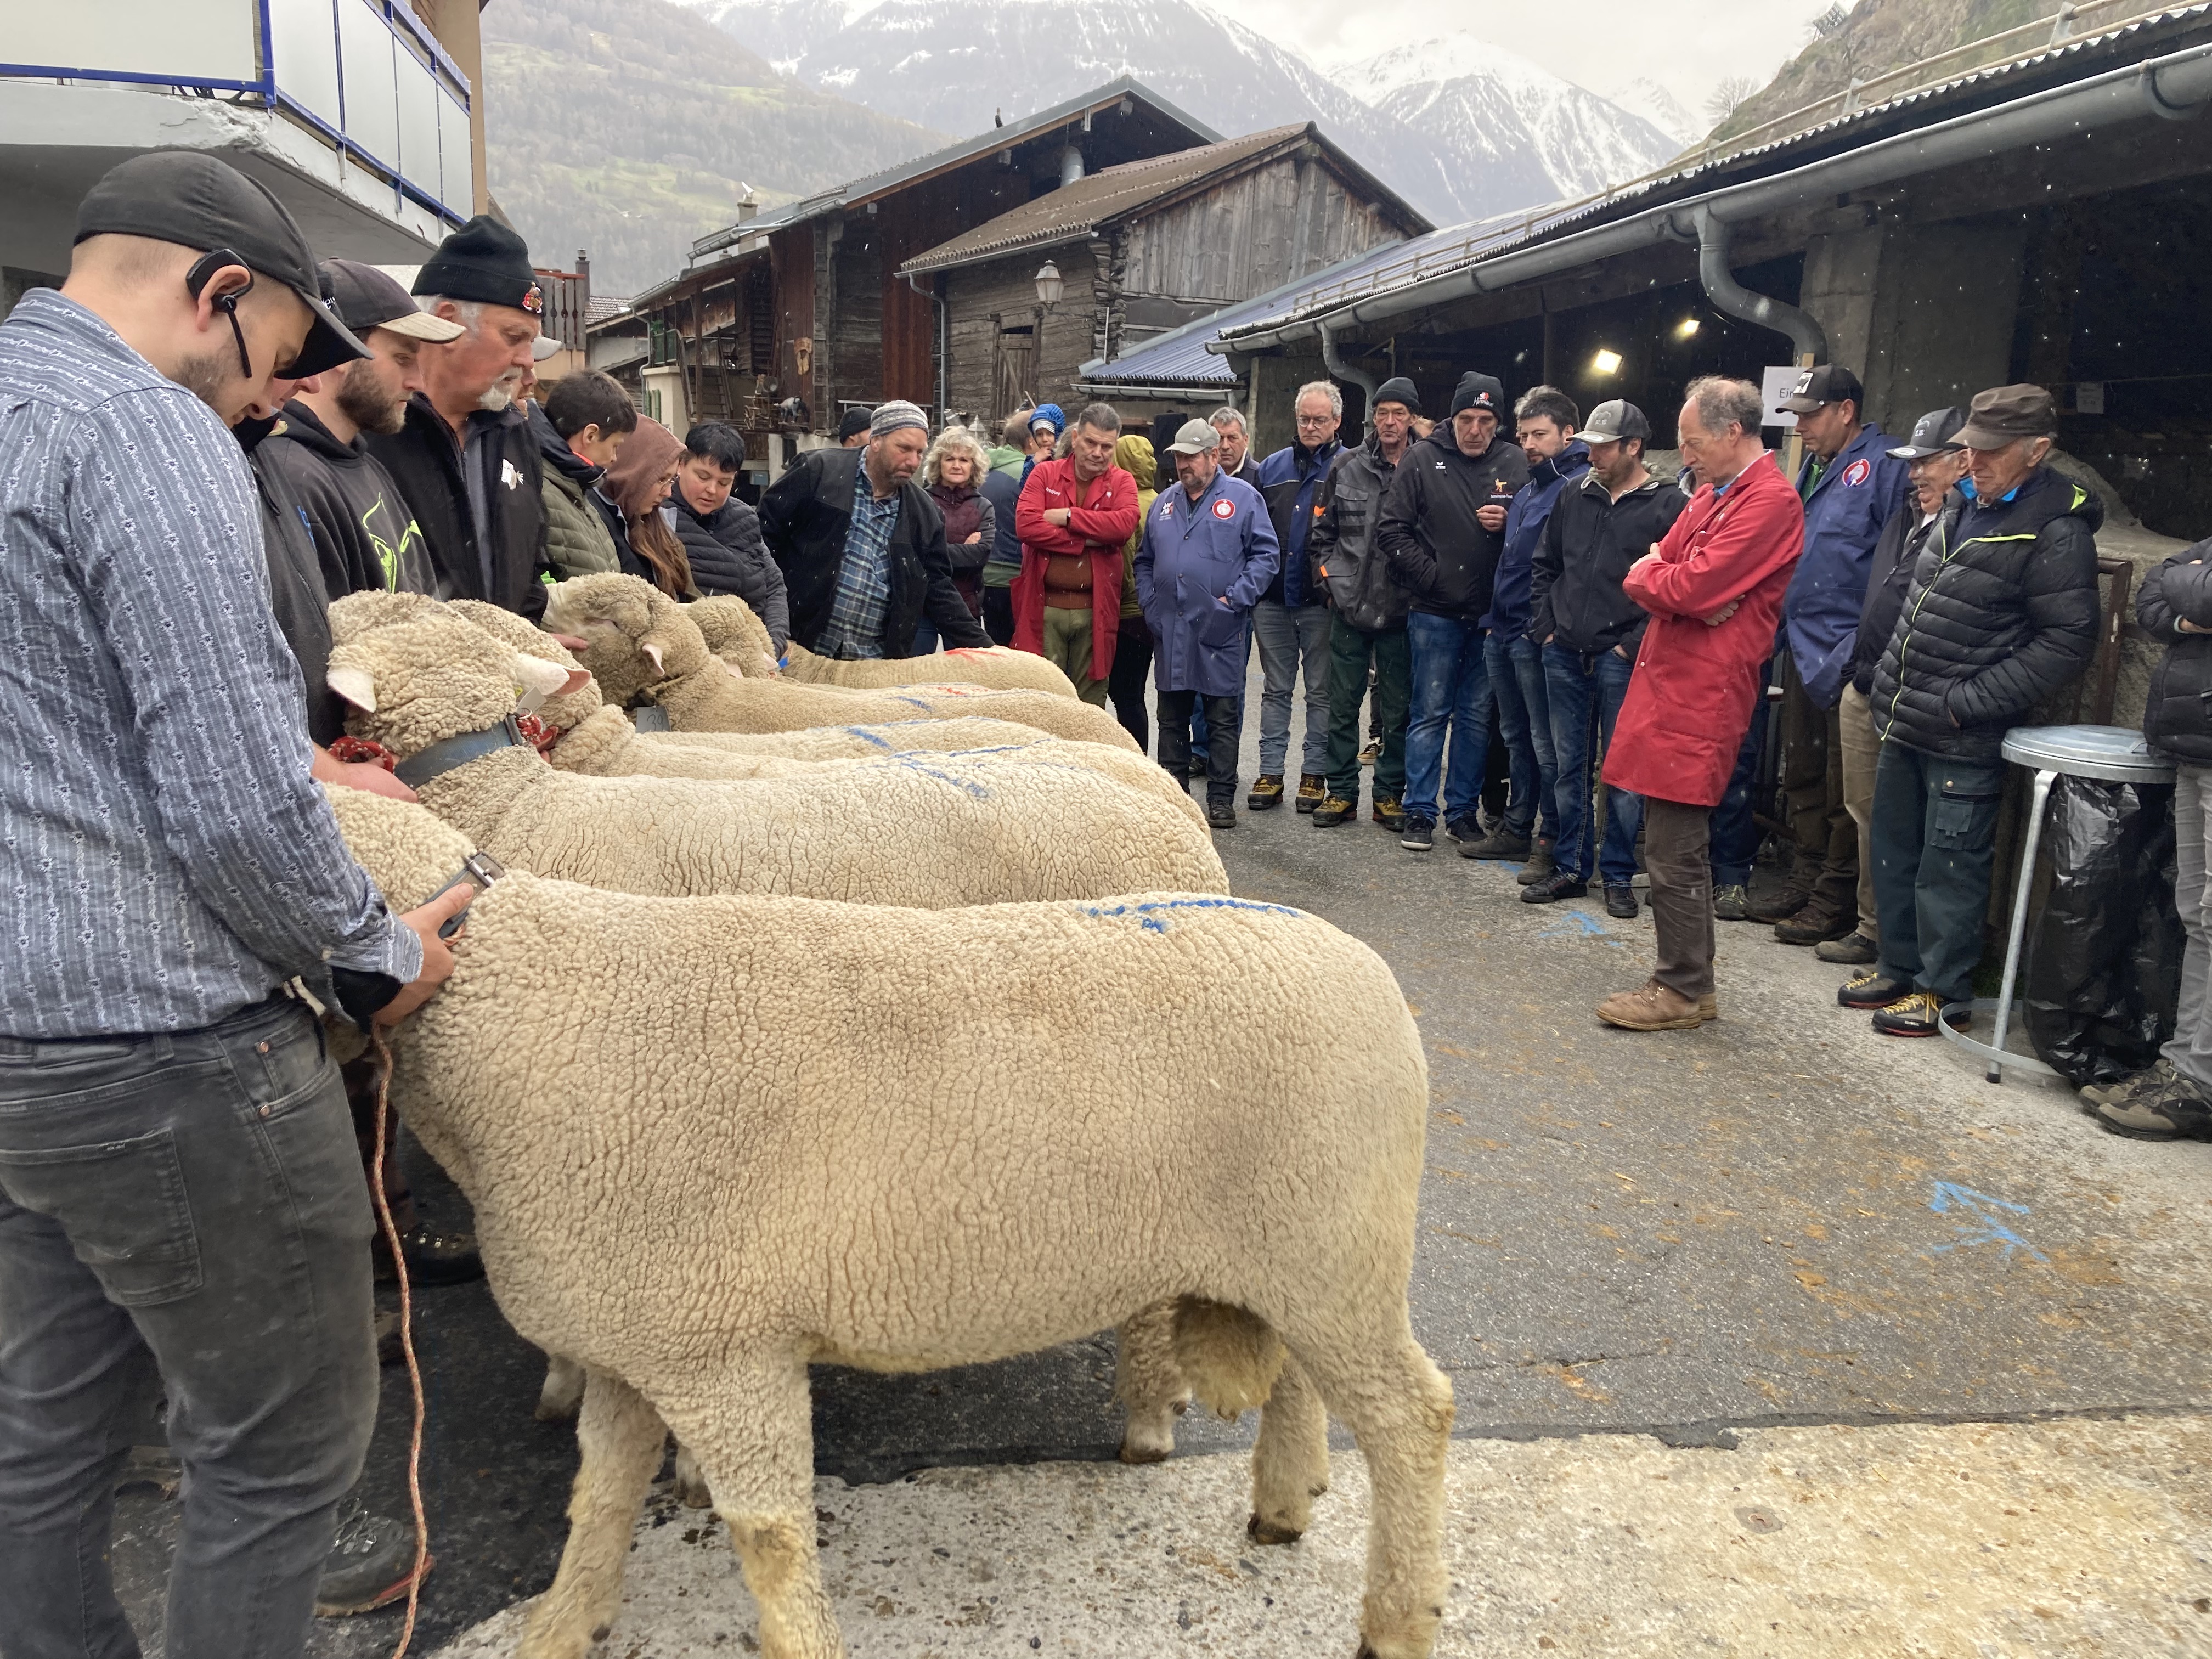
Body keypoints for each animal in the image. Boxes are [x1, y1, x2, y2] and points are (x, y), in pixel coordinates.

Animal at [316, 787, 1451, 1659]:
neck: (520, 1007)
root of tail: (1366, 966)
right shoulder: (642, 1340)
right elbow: (598, 1498)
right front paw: (563, 1624)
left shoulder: (725, 1348)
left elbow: (770, 1537)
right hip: (1297, 1246)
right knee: (1305, 1376)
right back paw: (1284, 1500)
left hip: (1334, 1242)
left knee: (1412, 1417)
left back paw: (1396, 1618)